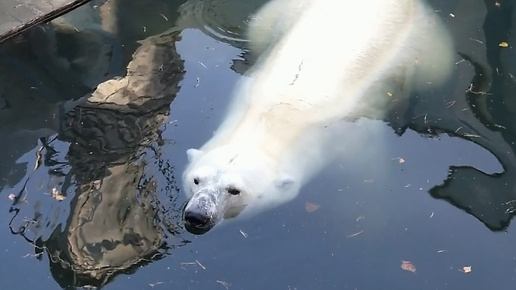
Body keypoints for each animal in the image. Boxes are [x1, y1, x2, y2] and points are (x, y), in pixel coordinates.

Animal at [180, 0, 452, 234]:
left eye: (235, 190)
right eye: (196, 180)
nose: (197, 215)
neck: (277, 115)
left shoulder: (354, 136)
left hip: (425, 43)